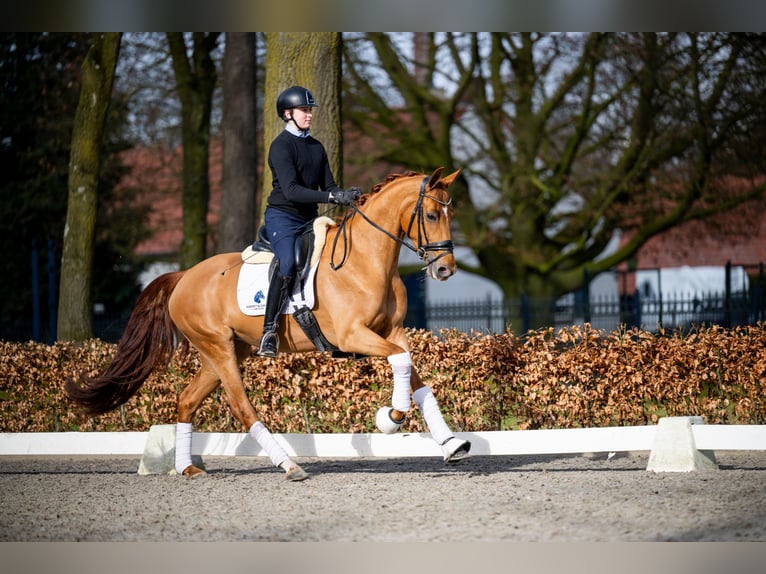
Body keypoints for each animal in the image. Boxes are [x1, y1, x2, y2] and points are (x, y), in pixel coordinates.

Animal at [66, 168, 472, 482]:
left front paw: (453, 443)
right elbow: (401, 362)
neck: (365, 260)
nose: (446, 269)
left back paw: (187, 469)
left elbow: (414, 375)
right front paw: (393, 416)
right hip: (218, 348)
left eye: (451, 213)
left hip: (226, 351)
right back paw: (289, 465)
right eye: (431, 215)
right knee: (242, 407)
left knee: (186, 400)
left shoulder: (391, 332)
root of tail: (183, 277)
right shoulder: (353, 335)